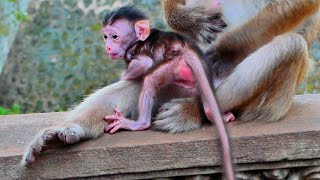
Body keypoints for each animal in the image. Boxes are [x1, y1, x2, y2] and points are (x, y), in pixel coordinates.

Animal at [103, 6, 235, 179]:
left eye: (114, 36)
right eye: (105, 37)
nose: (107, 46)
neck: (137, 41)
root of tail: (186, 47)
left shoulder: (135, 52)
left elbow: (144, 63)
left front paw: (123, 76)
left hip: (172, 65)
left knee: (150, 79)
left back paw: (139, 124)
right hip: (202, 69)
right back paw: (215, 114)